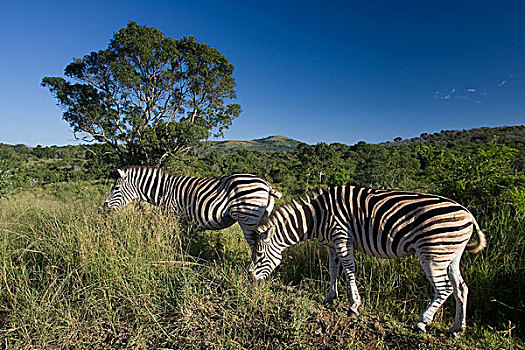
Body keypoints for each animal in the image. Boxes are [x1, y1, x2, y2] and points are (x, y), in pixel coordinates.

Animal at [104, 166, 280, 250]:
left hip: (248, 218)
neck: (163, 190)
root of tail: (267, 184)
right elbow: (182, 239)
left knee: (255, 245)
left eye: (116, 188)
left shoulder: (173, 214)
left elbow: (173, 237)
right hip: (261, 218)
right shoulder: (183, 219)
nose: (104, 207)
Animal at [250, 186, 488, 336]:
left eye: (259, 255)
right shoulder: (331, 243)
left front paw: (354, 306)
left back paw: (421, 322)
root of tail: (469, 215)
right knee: (461, 288)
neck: (317, 217)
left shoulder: (342, 237)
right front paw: (331, 297)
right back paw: (457, 329)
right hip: (452, 255)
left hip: (433, 253)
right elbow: (333, 270)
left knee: (445, 288)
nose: (251, 280)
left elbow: (349, 271)